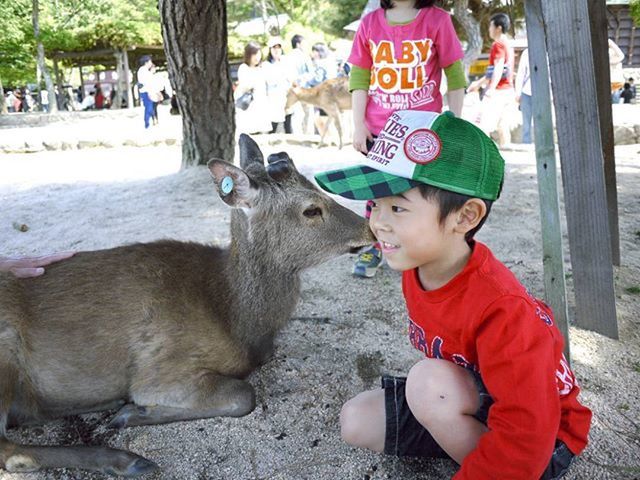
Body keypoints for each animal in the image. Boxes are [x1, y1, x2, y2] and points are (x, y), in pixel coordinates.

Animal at [0, 134, 376, 476]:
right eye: (311, 209)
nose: (370, 229)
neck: (235, 317)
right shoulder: (161, 369)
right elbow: (243, 395)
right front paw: (131, 412)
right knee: (10, 450)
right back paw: (125, 459)